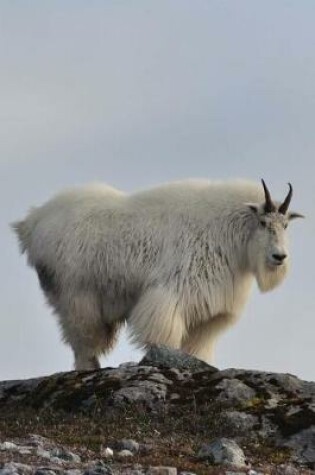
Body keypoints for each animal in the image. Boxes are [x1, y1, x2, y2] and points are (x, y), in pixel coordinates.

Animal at [12, 178, 304, 368]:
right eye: (263, 222)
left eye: (286, 225)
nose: (279, 257)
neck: (228, 231)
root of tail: (31, 224)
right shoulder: (172, 294)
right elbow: (165, 336)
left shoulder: (209, 312)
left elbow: (197, 349)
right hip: (76, 295)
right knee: (83, 340)